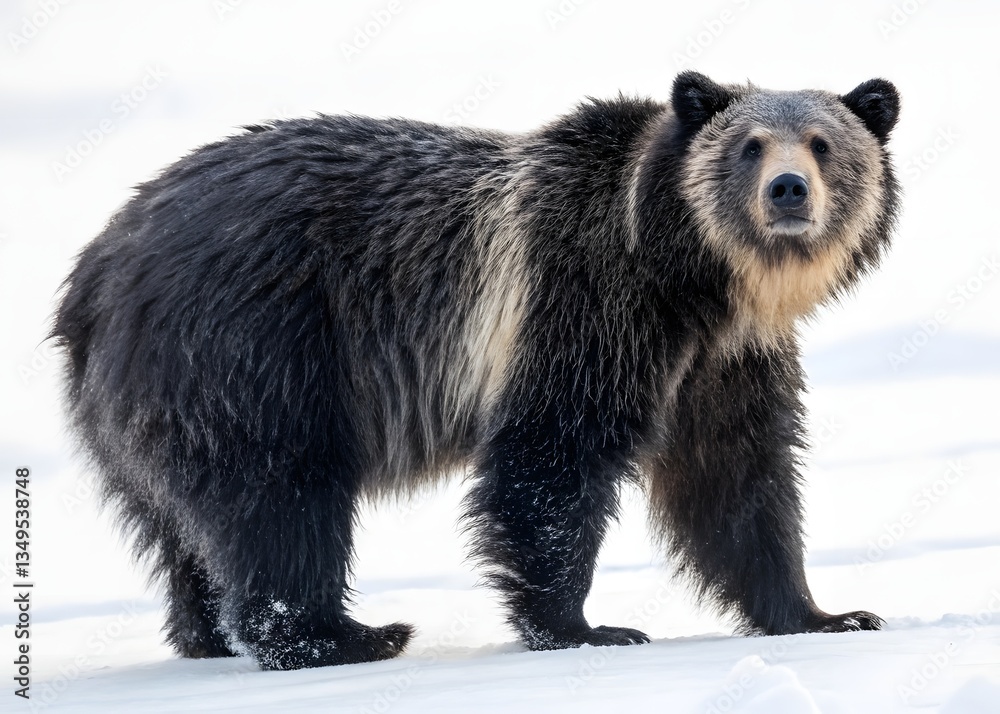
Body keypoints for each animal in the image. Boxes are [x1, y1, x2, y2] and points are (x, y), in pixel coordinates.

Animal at [52, 71, 901, 671]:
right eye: (749, 144)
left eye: (823, 142)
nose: (787, 191)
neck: (697, 280)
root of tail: (96, 270)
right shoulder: (586, 303)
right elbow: (553, 458)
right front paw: (588, 626)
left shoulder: (723, 363)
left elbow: (739, 481)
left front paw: (827, 614)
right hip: (258, 344)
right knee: (279, 495)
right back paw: (344, 634)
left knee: (183, 525)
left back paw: (209, 632)